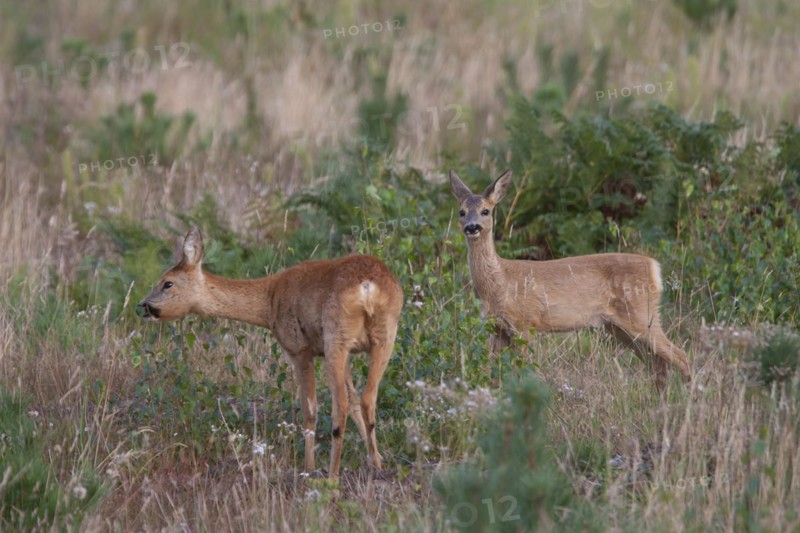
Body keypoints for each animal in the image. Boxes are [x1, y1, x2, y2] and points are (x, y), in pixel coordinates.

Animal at [136, 226, 403, 479]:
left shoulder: (299, 348)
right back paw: (376, 465)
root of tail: (367, 287)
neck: (269, 300)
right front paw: (376, 460)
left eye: (167, 283)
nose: (143, 306)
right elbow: (355, 400)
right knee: (367, 398)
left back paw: (332, 475)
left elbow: (310, 410)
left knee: (341, 404)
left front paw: (308, 468)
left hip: (337, 336)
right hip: (384, 336)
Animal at [449, 169, 690, 389]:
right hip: (618, 327)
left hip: (642, 314)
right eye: (461, 212)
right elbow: (496, 373)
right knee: (656, 363)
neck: (500, 281)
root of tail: (654, 267)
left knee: (679, 355)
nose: (472, 227)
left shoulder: (524, 323)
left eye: (486, 211)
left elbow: (520, 370)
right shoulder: (497, 328)